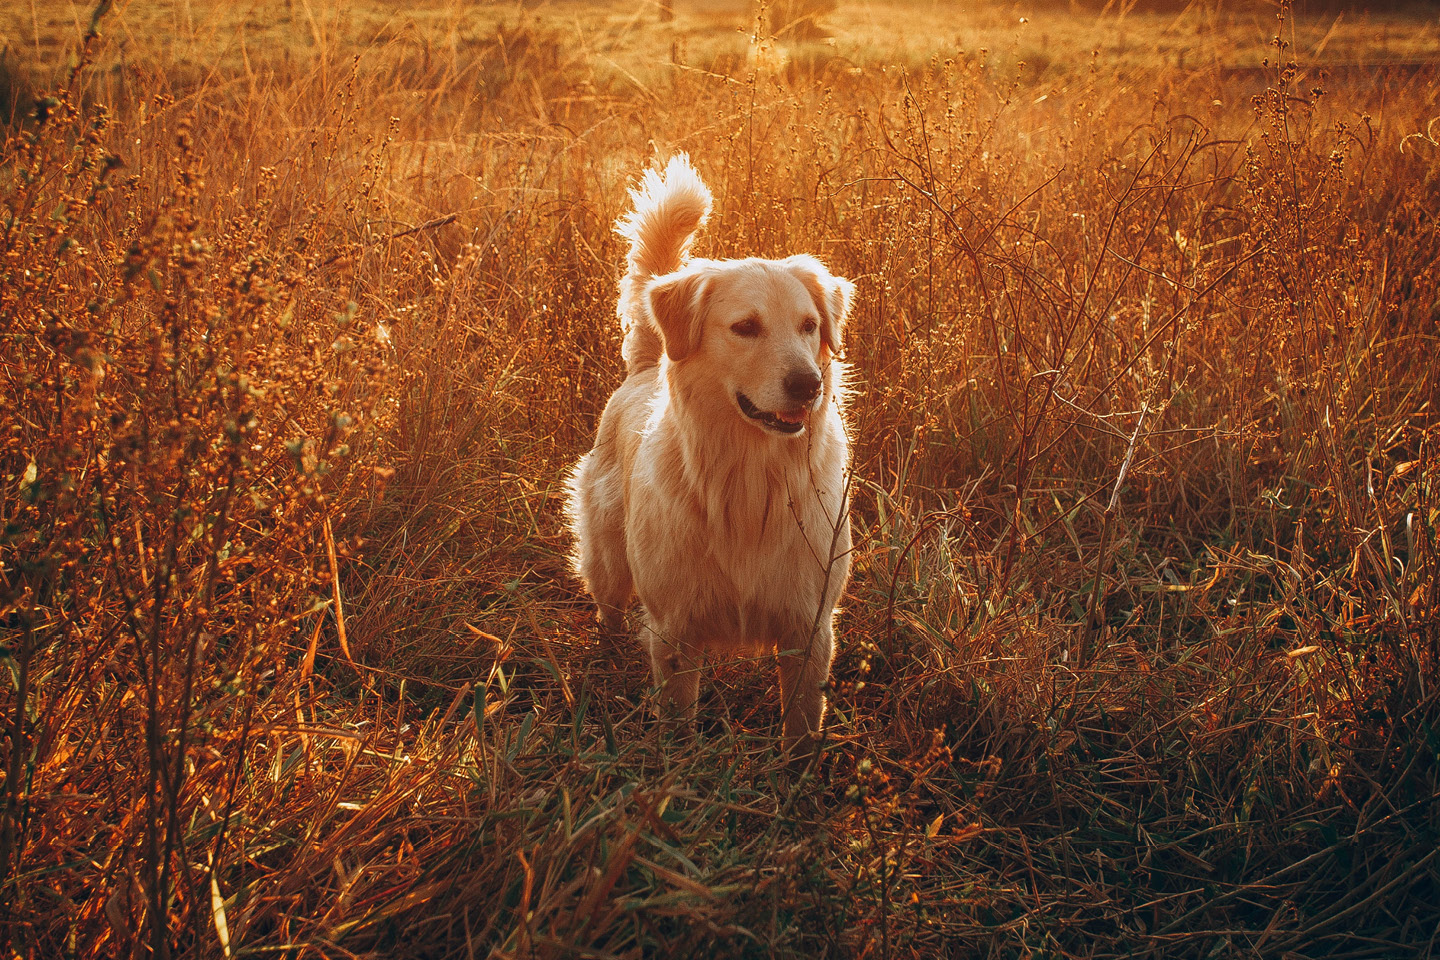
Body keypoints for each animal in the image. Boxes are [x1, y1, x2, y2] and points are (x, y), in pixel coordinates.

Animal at [561, 157, 852, 754]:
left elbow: (802, 721)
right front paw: (678, 763)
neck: (751, 479)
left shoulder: (810, 625)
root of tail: (646, 366)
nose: (808, 386)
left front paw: (799, 768)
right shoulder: (675, 627)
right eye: (745, 327)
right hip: (608, 560)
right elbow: (676, 719)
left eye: (809, 325)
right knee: (608, 609)